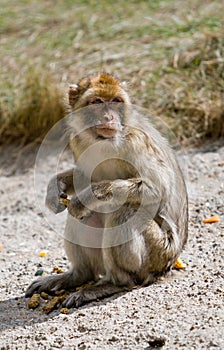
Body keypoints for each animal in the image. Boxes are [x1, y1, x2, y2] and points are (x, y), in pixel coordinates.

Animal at [25, 72, 188, 308]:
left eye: (116, 101)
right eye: (97, 102)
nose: (109, 117)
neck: (105, 141)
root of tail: (168, 264)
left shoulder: (137, 142)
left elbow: (158, 189)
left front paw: (87, 197)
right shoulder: (77, 142)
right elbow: (82, 176)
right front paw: (54, 189)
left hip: (158, 253)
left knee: (125, 211)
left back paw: (113, 284)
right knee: (83, 219)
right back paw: (77, 276)